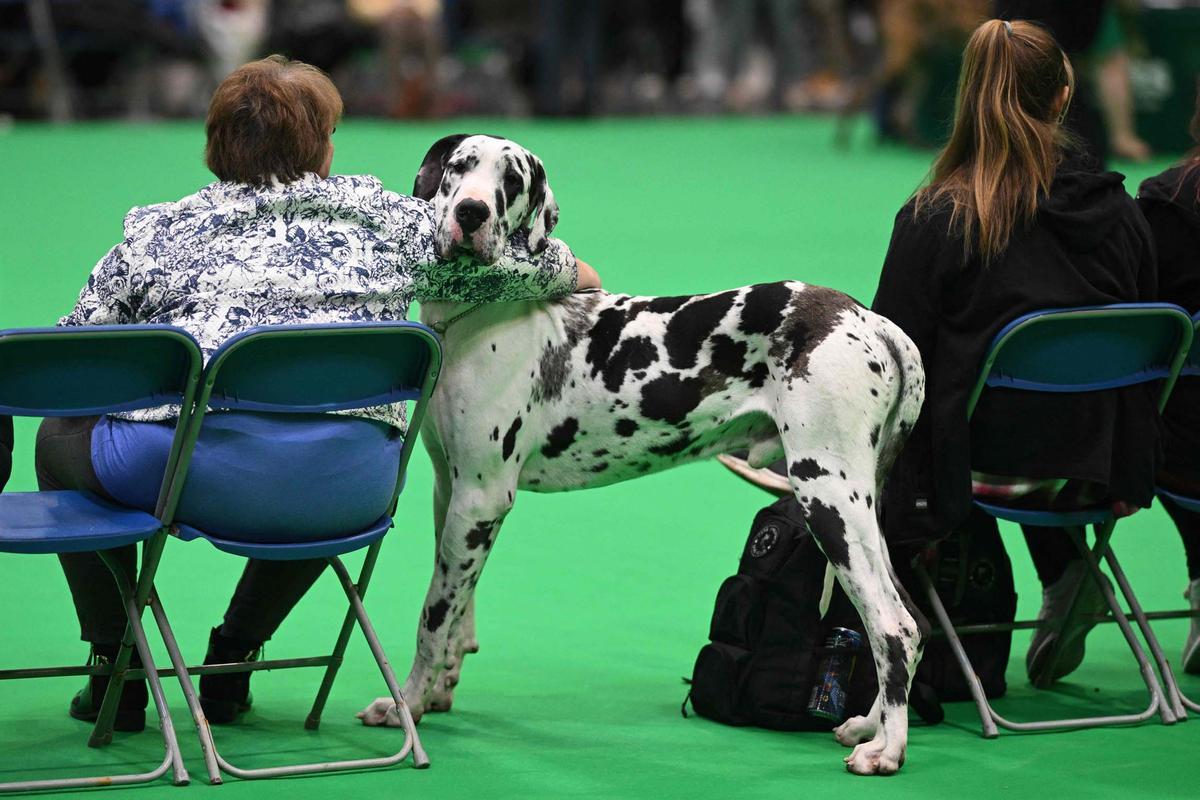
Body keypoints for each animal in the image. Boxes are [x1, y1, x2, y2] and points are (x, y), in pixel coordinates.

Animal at [355, 134, 926, 772]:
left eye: (512, 183)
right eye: (460, 168)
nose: (472, 213)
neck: (483, 312)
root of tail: (873, 322)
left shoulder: (481, 498)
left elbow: (432, 618)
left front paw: (407, 704)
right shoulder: (451, 493)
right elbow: (457, 609)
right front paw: (439, 691)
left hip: (826, 499)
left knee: (892, 626)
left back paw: (887, 749)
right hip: (859, 510)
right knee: (908, 622)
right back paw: (869, 724)